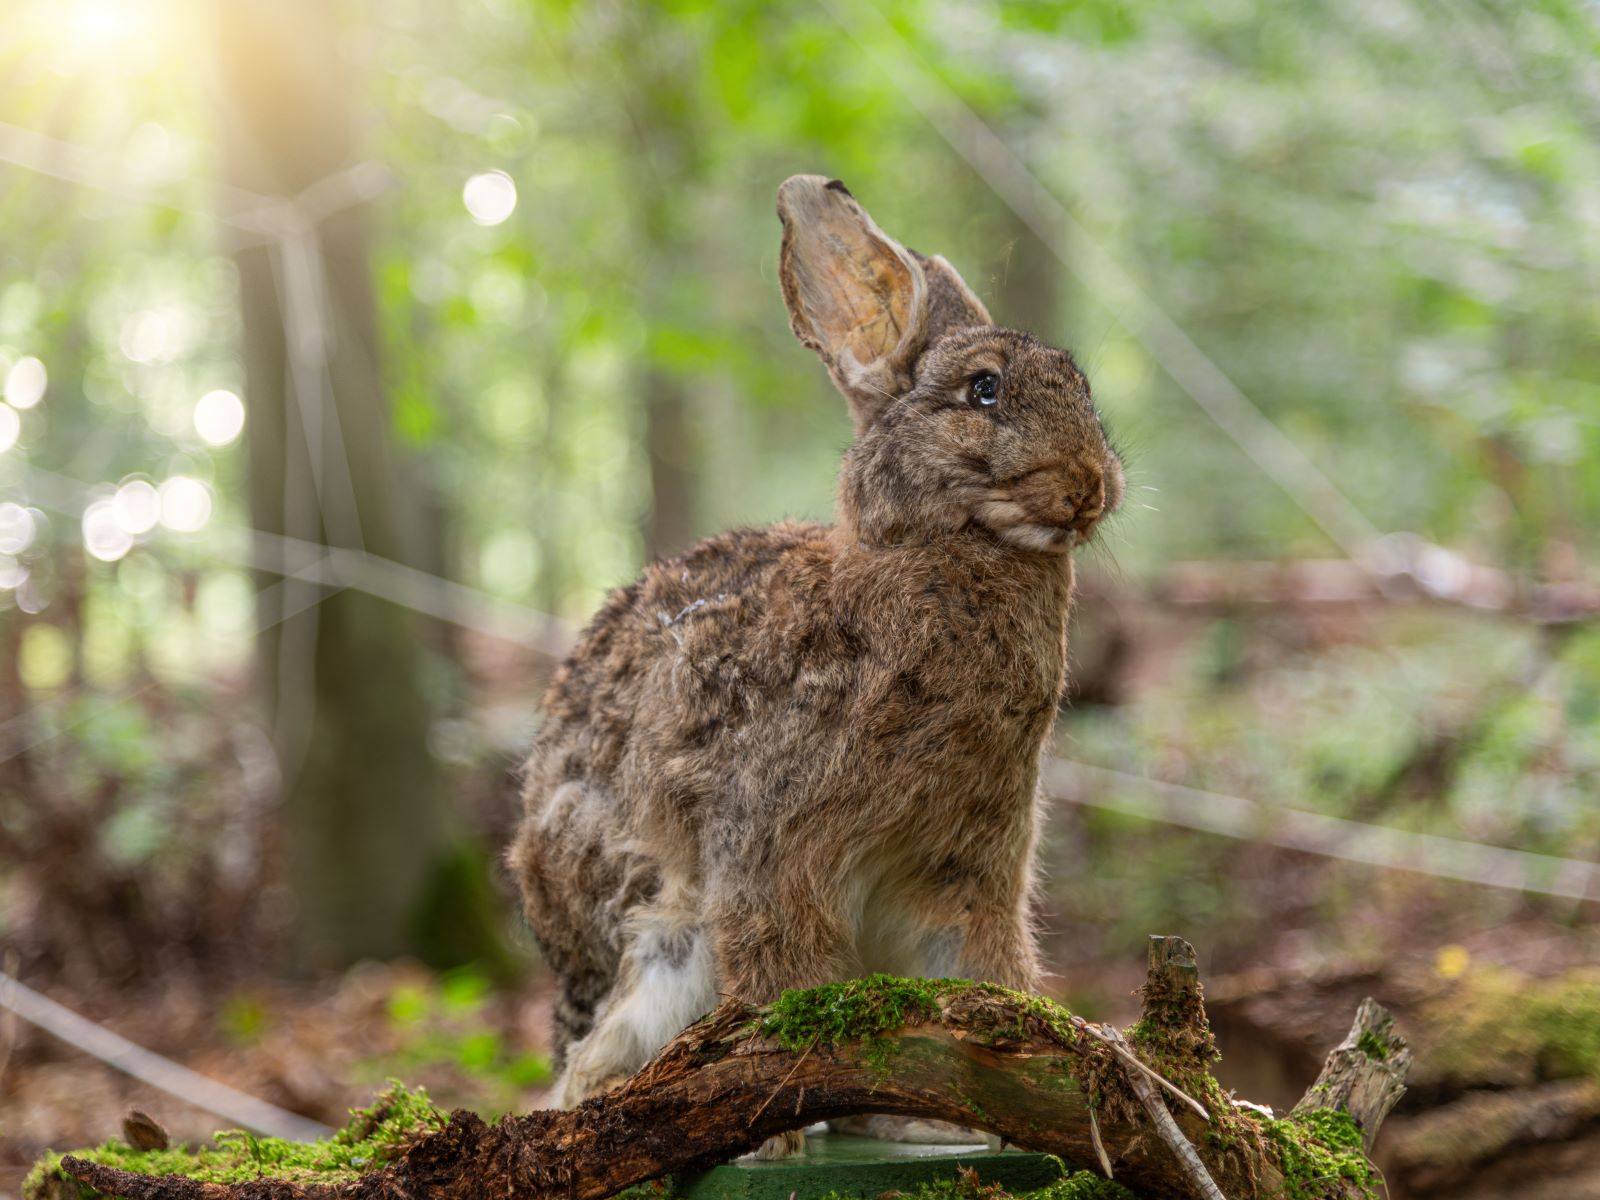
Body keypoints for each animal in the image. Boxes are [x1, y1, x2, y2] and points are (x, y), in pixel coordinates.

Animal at [510, 175, 1123, 1155]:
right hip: (664, 934)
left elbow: (978, 967)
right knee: (597, 1065)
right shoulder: (767, 853)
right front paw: (776, 1136)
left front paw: (994, 1117)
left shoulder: (967, 869)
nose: (1090, 487)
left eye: (1082, 386)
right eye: (983, 390)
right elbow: (781, 977)